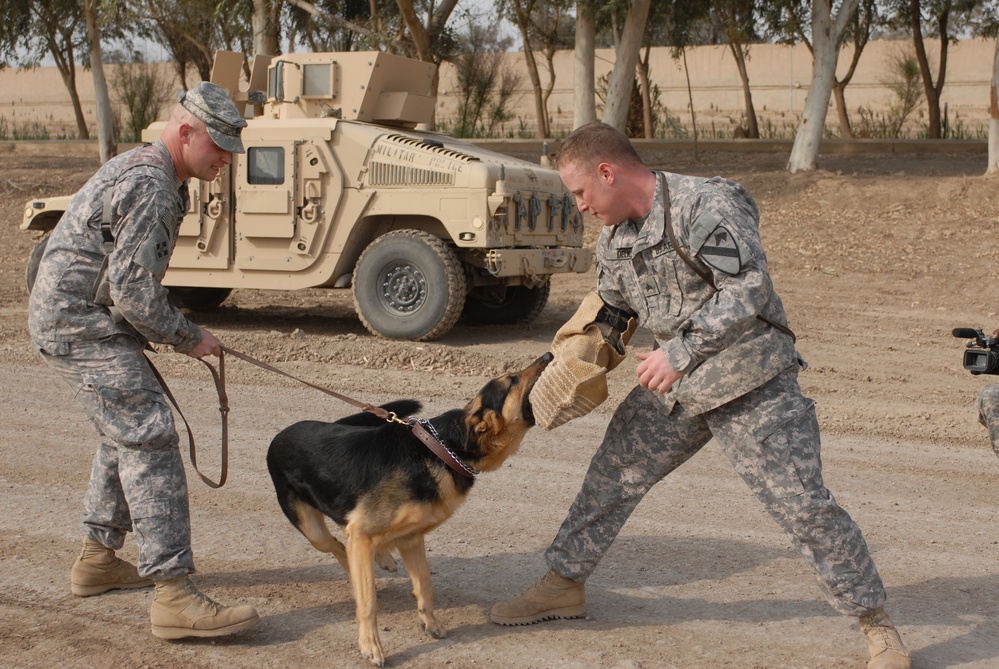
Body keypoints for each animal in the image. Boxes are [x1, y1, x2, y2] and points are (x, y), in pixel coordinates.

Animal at [266, 352, 556, 664]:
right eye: (512, 379)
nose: (549, 354)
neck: (441, 448)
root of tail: (282, 433)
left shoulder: (411, 539)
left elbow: (425, 584)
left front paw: (430, 623)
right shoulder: (369, 533)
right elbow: (368, 601)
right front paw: (370, 644)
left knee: (349, 540)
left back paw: (381, 557)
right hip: (313, 529)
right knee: (337, 545)